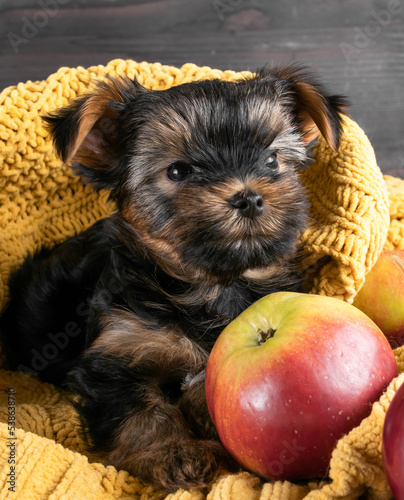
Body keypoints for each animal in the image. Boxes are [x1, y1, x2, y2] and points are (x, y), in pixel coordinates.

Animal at [1, 65, 346, 492]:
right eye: (178, 171)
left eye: (272, 160)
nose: (249, 197)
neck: (214, 286)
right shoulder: (117, 349)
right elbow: (137, 412)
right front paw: (173, 454)